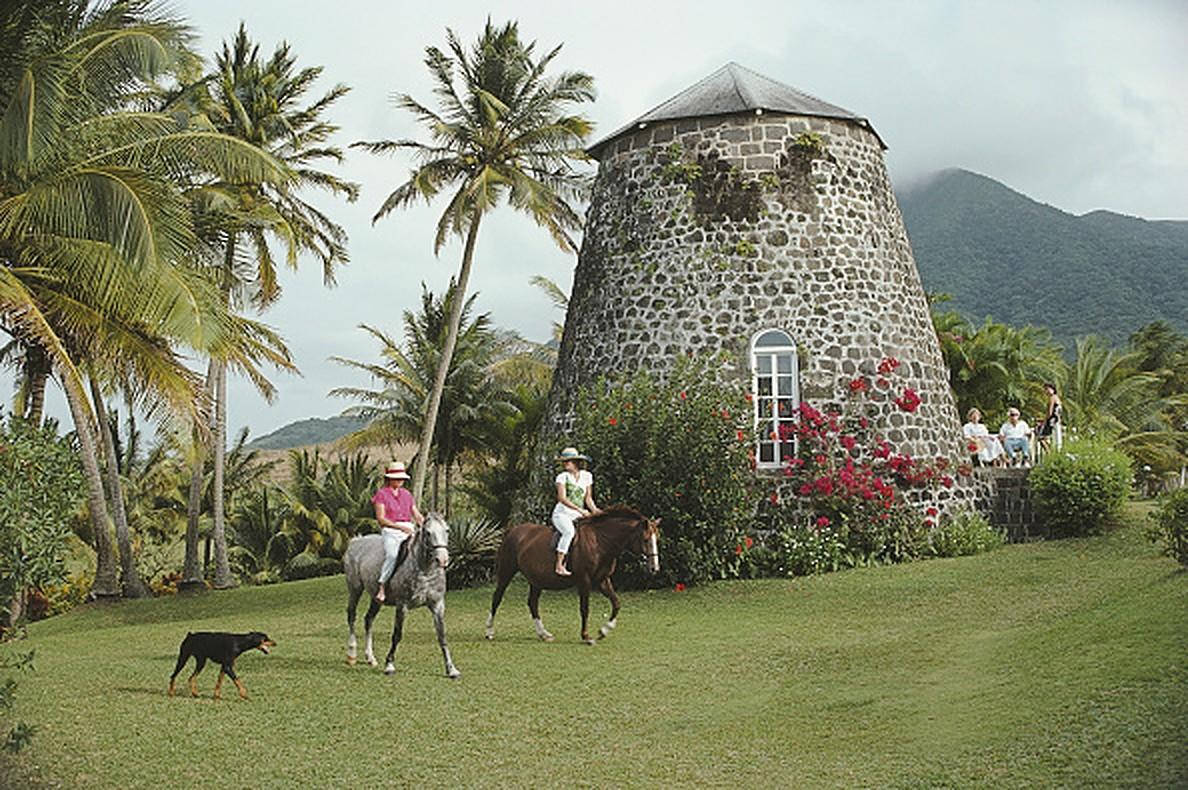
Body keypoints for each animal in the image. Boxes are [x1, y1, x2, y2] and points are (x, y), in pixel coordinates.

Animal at [344, 510, 458, 679]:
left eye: (447, 530)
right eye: (428, 532)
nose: (442, 559)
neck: (425, 570)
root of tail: (356, 541)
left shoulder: (437, 605)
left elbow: (442, 635)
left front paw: (451, 669)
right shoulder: (402, 605)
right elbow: (397, 635)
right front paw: (389, 665)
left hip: (376, 598)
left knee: (368, 619)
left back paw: (370, 657)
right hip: (355, 589)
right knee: (352, 615)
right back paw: (351, 654)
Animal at [487, 506, 665, 641]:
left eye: (657, 539)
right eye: (645, 539)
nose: (655, 568)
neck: (600, 541)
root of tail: (512, 531)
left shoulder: (602, 580)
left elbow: (616, 603)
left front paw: (604, 630)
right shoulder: (584, 580)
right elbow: (585, 608)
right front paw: (586, 635)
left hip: (536, 580)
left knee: (532, 603)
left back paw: (543, 633)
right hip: (506, 572)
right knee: (497, 598)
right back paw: (489, 631)